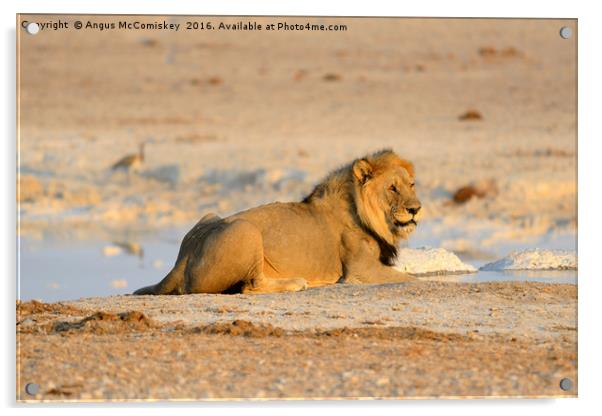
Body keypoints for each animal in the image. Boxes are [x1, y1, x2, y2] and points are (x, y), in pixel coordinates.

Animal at [134, 150, 420, 296]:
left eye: (412, 185)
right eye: (392, 188)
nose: (416, 209)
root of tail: (182, 257)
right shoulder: (361, 269)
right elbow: (415, 278)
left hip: (210, 216)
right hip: (246, 230)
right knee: (250, 287)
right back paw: (298, 282)